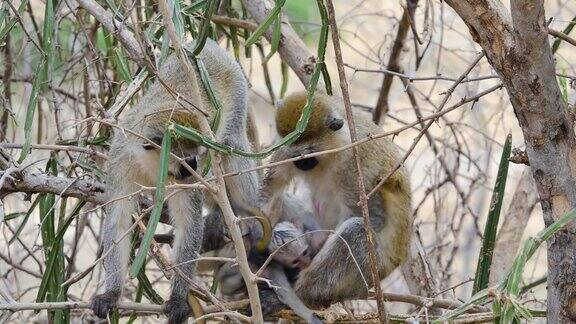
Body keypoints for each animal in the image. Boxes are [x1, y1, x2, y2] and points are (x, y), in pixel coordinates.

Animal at [264, 90, 412, 308]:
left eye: (308, 154)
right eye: (294, 154)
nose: (300, 164)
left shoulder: (355, 165)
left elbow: (373, 217)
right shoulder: (282, 149)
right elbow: (269, 189)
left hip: (368, 275)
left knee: (357, 230)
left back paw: (300, 294)